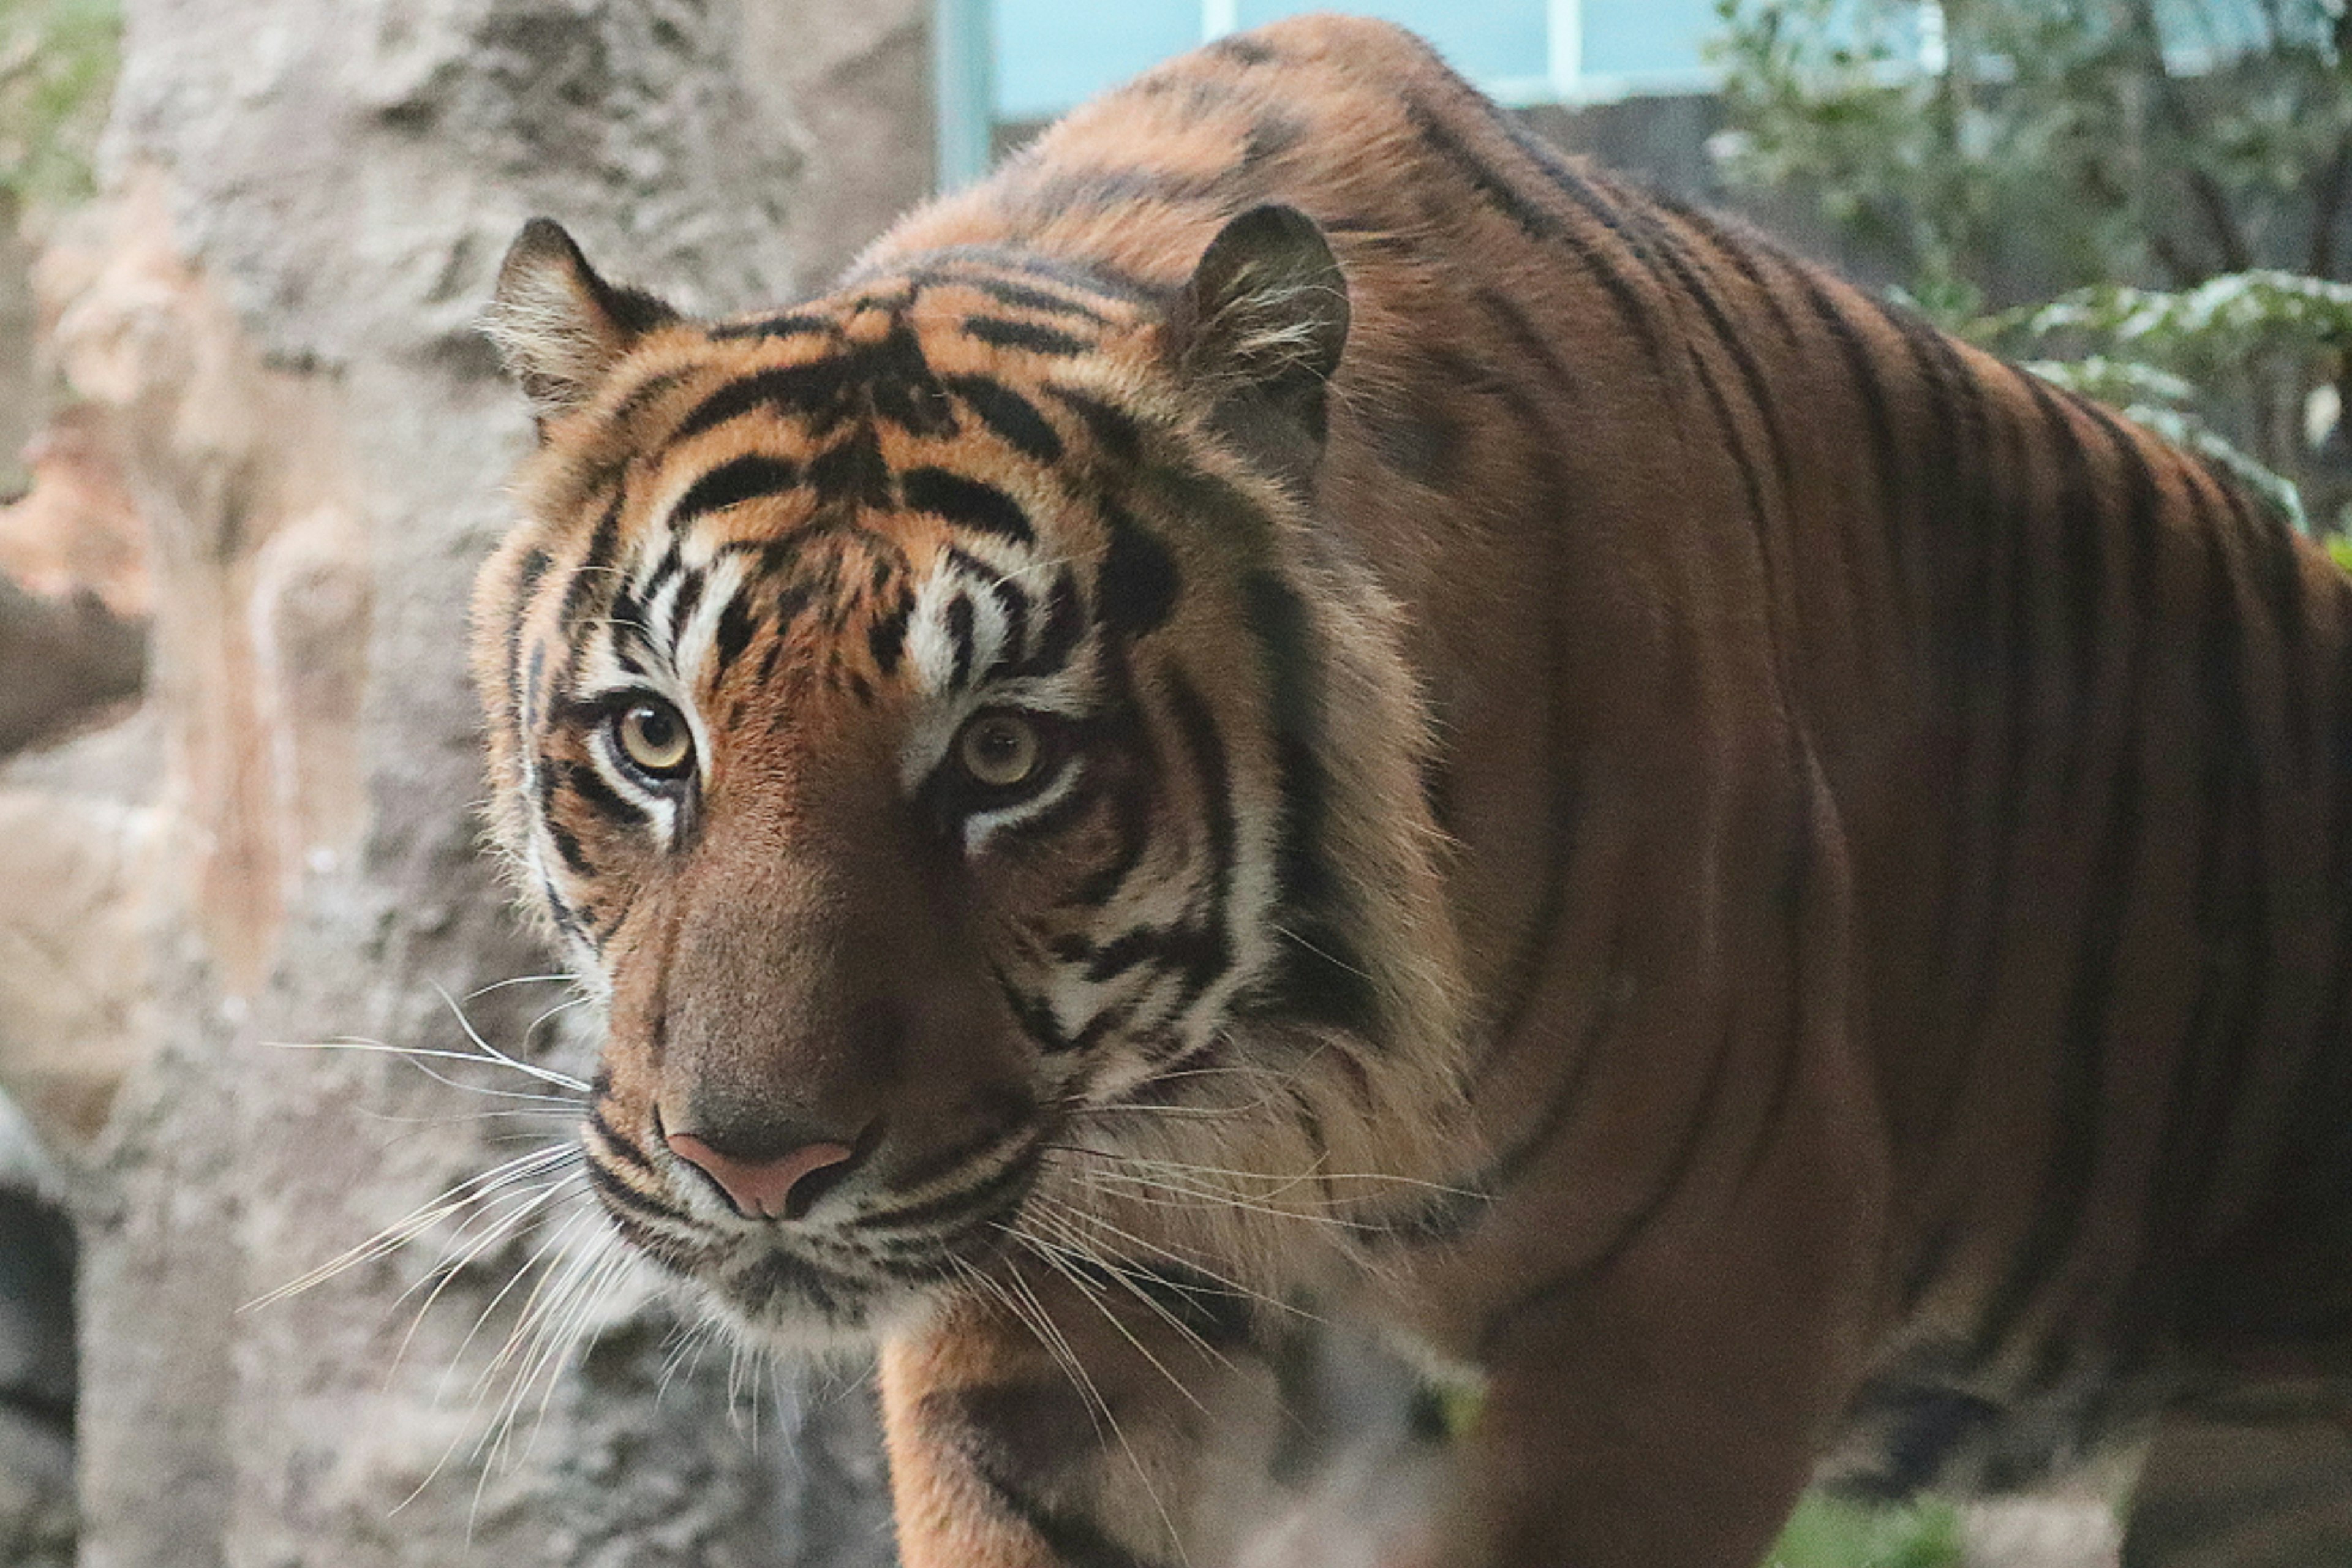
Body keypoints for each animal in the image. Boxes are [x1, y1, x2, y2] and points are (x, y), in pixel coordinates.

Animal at [472, 12, 2352, 1568]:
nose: (754, 1169)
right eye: (655, 739)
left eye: (1004, 754)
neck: (1250, 1085)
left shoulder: (1711, 1295)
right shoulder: (1060, 1305)